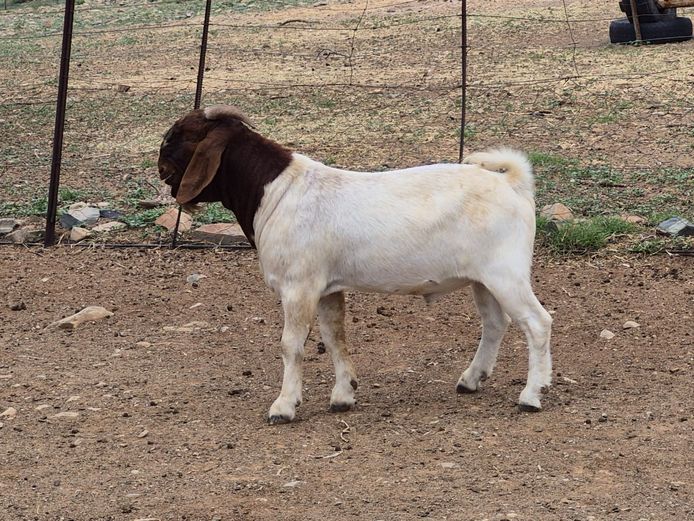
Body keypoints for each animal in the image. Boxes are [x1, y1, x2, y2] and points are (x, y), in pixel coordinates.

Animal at [158, 105, 553, 424]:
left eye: (179, 135)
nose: (160, 168)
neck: (276, 192)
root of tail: (512, 183)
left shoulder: (299, 286)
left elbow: (291, 344)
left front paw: (284, 406)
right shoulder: (326, 288)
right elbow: (335, 337)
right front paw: (343, 396)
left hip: (506, 273)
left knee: (537, 323)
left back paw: (531, 396)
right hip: (483, 279)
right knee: (495, 323)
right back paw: (471, 380)